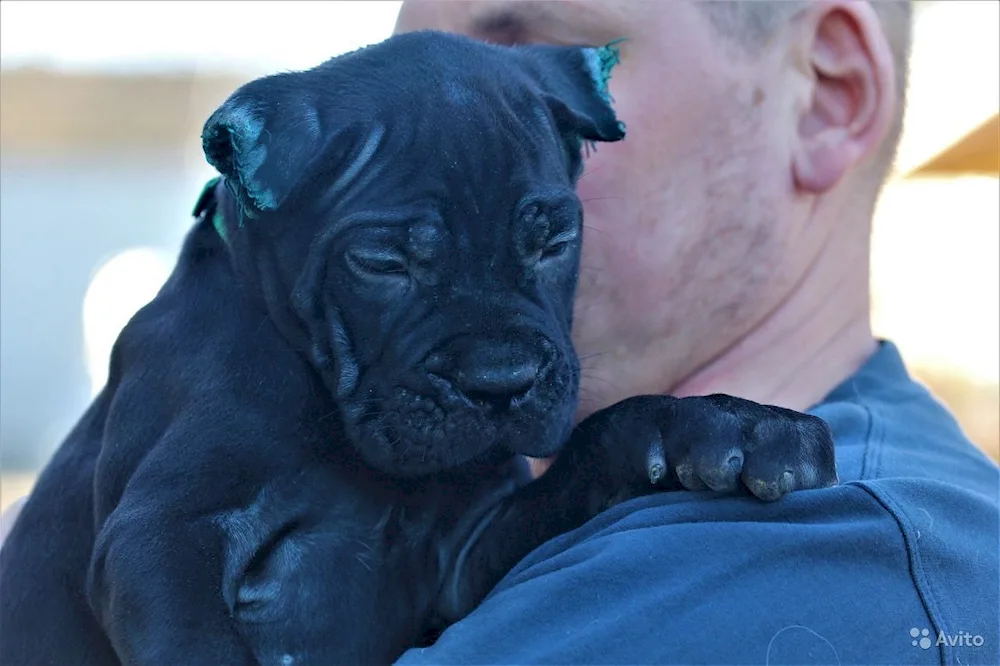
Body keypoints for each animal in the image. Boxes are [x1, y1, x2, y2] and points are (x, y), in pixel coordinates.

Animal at [0, 31, 836, 664]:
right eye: (381, 263)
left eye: (556, 241)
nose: (501, 383)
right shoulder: (163, 535)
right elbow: (198, 645)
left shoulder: (469, 553)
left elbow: (591, 447)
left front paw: (727, 422)